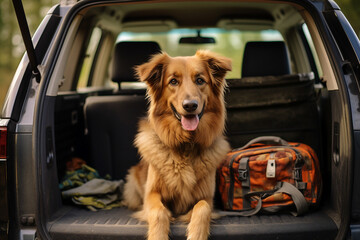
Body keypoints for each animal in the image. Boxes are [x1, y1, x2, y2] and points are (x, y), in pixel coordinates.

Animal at [123, 50, 231, 240]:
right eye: (173, 81)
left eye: (200, 80)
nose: (190, 106)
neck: (186, 145)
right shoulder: (151, 195)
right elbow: (159, 212)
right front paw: (158, 235)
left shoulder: (207, 197)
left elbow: (202, 208)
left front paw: (196, 234)